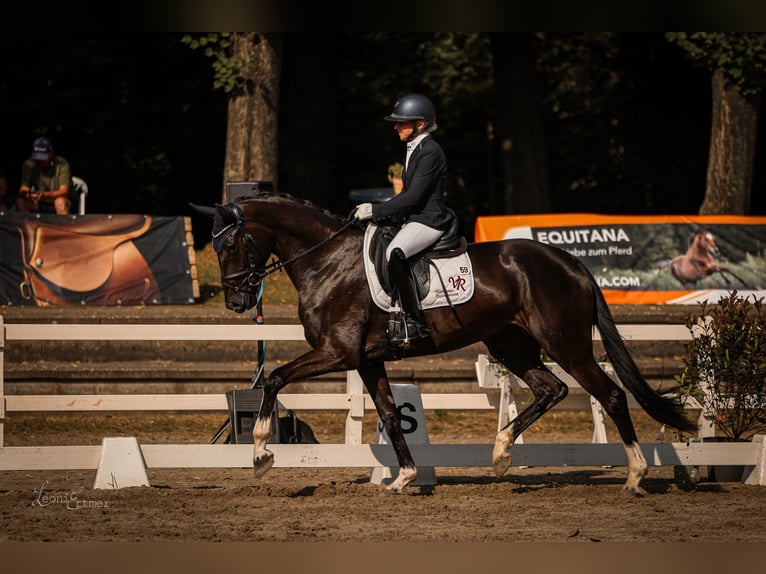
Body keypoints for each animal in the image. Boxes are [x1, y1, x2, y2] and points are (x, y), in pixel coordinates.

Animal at [195, 195, 700, 500]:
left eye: (233, 244)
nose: (236, 301)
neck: (326, 260)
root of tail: (570, 262)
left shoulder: (337, 352)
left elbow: (275, 377)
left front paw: (261, 454)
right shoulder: (367, 360)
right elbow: (390, 415)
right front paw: (403, 478)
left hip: (566, 346)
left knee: (610, 394)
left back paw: (635, 476)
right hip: (510, 344)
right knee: (549, 390)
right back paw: (500, 455)